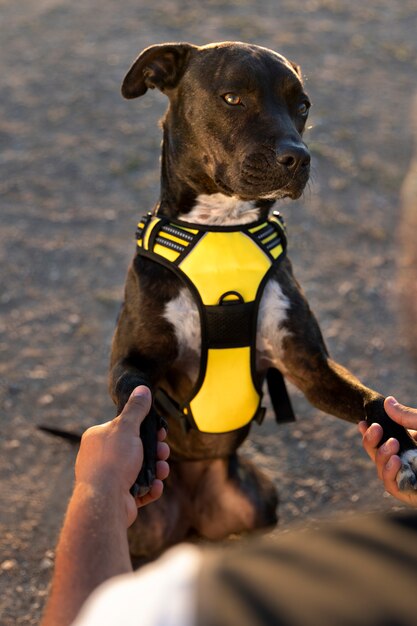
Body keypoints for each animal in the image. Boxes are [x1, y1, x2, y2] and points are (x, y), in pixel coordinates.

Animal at [109, 41, 416, 560]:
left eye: (303, 106)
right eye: (232, 98)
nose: (299, 157)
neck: (222, 229)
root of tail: (192, 517)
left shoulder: (310, 368)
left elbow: (373, 400)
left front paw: (406, 451)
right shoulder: (129, 361)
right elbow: (139, 397)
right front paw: (144, 452)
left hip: (260, 504)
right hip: (140, 534)